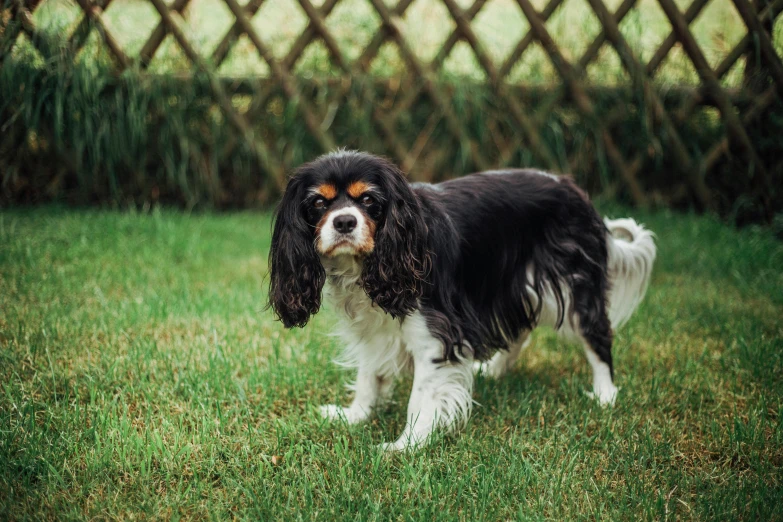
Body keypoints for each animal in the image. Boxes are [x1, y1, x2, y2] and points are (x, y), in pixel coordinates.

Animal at [270, 149, 656, 446]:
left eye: (368, 200)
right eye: (318, 203)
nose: (345, 222)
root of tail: (574, 189)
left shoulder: (434, 334)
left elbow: (420, 399)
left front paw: (405, 445)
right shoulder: (375, 329)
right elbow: (369, 376)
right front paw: (355, 416)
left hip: (574, 284)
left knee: (597, 336)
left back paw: (605, 394)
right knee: (520, 329)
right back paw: (495, 370)